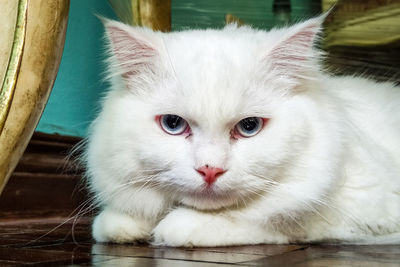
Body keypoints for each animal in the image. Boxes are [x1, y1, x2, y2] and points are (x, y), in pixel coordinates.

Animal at [85, 15, 400, 247]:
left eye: (249, 127)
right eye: (173, 124)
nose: (210, 170)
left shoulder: (359, 212)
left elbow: (270, 219)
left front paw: (176, 228)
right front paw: (124, 225)